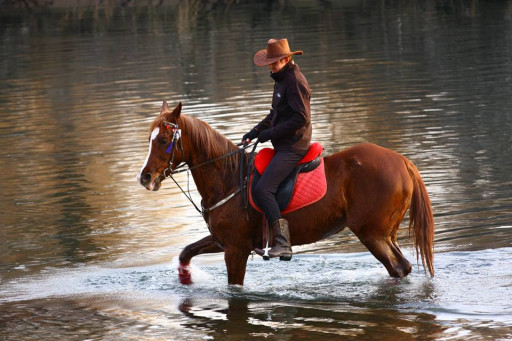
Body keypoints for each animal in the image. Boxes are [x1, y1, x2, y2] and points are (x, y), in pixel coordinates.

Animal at [138, 102, 434, 286]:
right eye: (149, 140)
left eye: (163, 141)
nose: (145, 177)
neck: (229, 178)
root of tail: (402, 161)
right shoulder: (223, 241)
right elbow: (186, 252)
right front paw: (185, 280)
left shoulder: (235, 249)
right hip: (383, 233)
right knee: (401, 269)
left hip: (371, 233)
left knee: (398, 268)